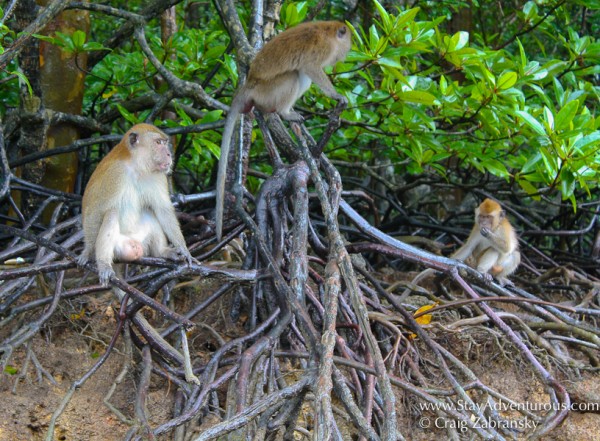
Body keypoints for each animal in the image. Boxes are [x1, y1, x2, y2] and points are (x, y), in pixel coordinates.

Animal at [78, 123, 192, 286]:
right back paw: (104, 263)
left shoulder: (158, 175)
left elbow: (163, 209)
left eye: (165, 143)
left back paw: (162, 252)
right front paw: (87, 252)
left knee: (149, 213)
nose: (169, 154)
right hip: (119, 247)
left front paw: (184, 249)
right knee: (111, 214)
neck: (136, 167)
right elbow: (94, 211)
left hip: (141, 240)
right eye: (158, 143)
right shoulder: (114, 174)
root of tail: (133, 243)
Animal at [216, 20, 354, 239]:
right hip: (268, 90)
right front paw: (337, 96)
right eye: (346, 45)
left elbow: (308, 70)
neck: (328, 31)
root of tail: (250, 82)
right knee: (294, 75)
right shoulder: (322, 49)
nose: (344, 56)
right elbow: (311, 68)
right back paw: (284, 112)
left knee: (300, 75)